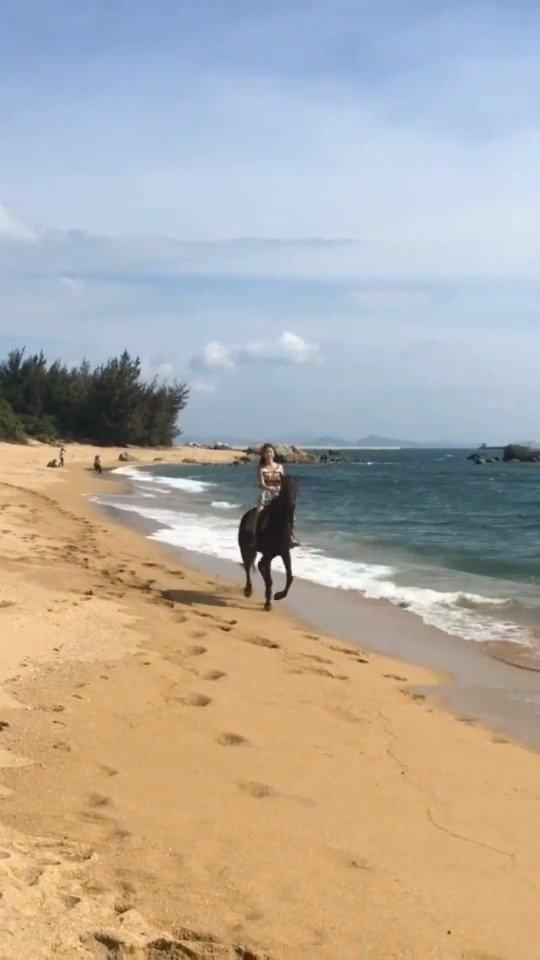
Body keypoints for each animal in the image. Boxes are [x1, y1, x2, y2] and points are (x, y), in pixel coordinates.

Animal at [237, 474, 298, 616]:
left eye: (296, 490)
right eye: (285, 490)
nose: (291, 507)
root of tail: (246, 515)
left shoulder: (284, 552)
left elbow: (290, 577)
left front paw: (279, 595)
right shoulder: (269, 553)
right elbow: (268, 577)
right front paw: (269, 602)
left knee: (260, 566)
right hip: (246, 549)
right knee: (248, 567)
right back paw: (248, 590)